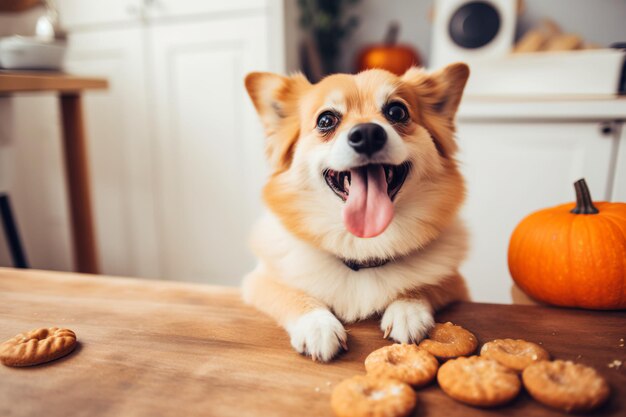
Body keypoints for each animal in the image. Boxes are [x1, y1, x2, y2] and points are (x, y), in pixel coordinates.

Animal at [243, 62, 468, 360]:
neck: (363, 248)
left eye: (397, 112)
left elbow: (425, 284)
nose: (368, 134)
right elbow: (291, 293)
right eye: (326, 120)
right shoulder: (258, 281)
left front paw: (407, 310)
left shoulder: (457, 284)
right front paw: (317, 324)